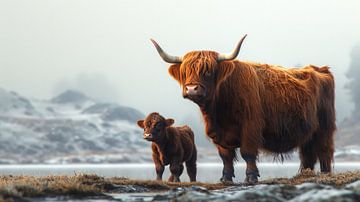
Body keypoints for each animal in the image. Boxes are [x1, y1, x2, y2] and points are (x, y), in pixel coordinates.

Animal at [150, 34, 336, 183]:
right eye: (185, 71)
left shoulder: (251, 127)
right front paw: (225, 178)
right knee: (308, 155)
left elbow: (248, 153)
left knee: (324, 151)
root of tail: (320, 69)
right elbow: (225, 157)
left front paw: (251, 177)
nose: (191, 89)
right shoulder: (219, 134)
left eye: (208, 71)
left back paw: (325, 175)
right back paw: (306, 175)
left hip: (324, 128)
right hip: (308, 133)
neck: (220, 111)